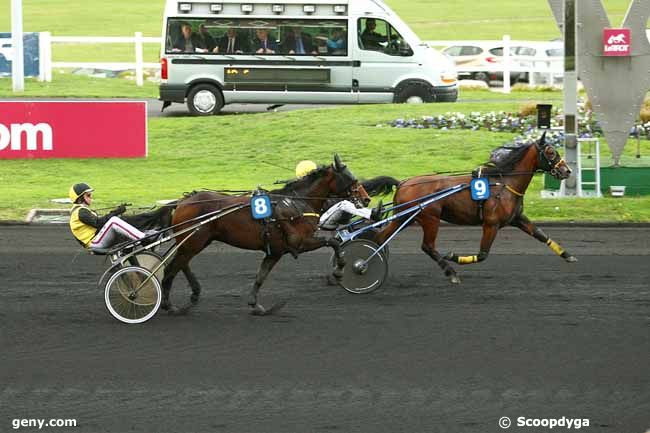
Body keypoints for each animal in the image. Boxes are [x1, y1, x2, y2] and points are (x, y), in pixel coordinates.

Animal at [161, 155, 370, 314]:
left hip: (195, 242)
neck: (295, 203)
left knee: (181, 264)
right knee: (172, 268)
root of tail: (182, 201)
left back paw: (192, 294)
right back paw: (169, 304)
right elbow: (334, 242)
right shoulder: (300, 242)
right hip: (193, 242)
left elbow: (261, 276)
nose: (366, 198)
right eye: (351, 178)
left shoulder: (275, 251)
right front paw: (339, 271)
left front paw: (255, 305)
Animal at [372, 134, 576, 284]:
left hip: (405, 218)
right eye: (550, 152)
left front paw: (568, 256)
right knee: (427, 246)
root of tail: (402, 183)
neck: (505, 183)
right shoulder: (491, 224)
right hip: (430, 218)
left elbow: (541, 235)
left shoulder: (517, 218)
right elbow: (483, 254)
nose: (567, 171)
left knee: (381, 238)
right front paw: (454, 256)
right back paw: (451, 272)